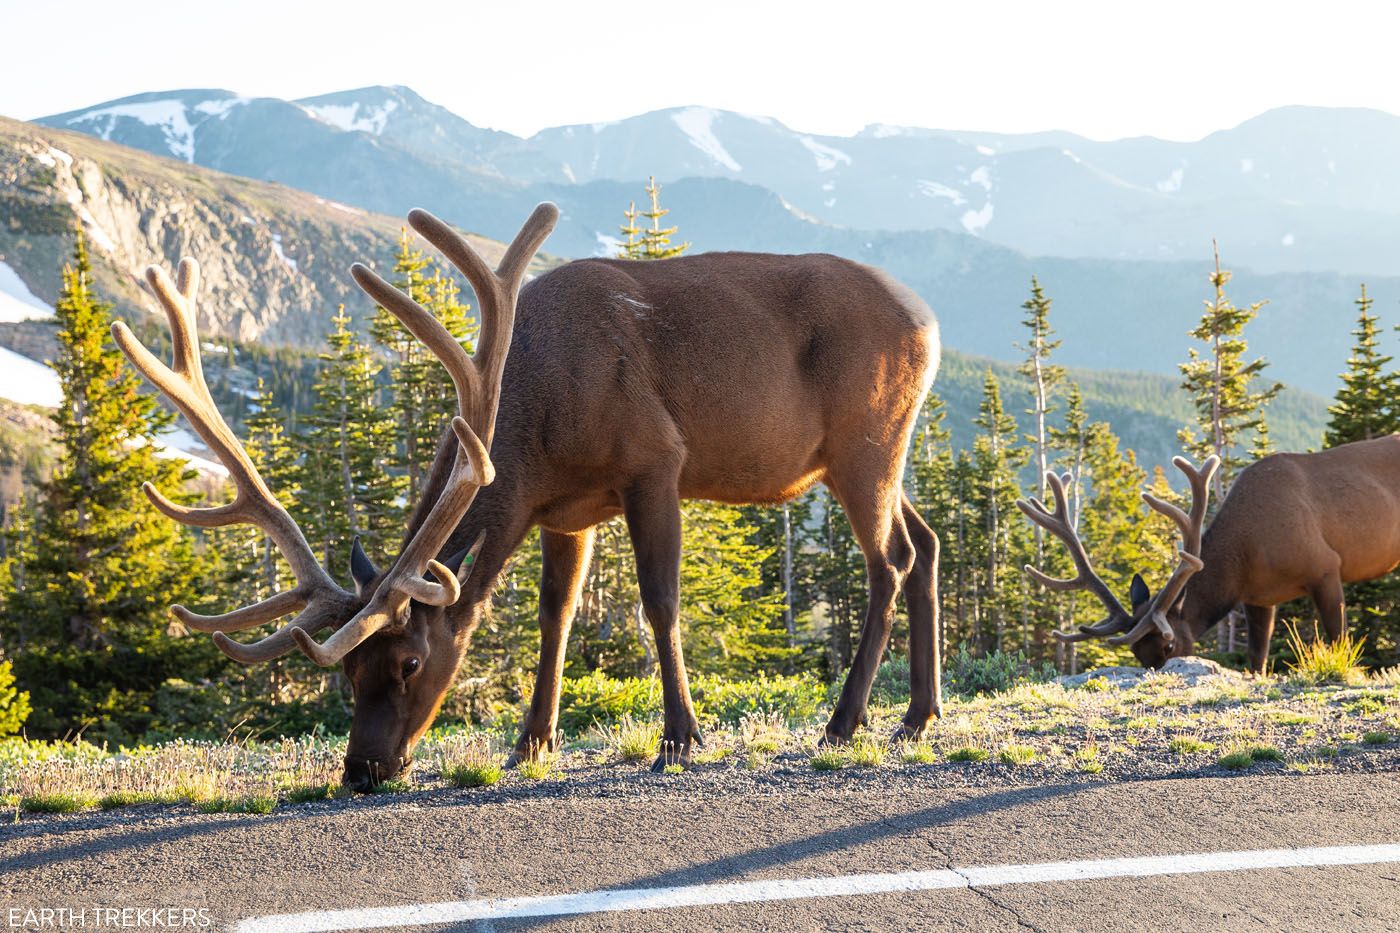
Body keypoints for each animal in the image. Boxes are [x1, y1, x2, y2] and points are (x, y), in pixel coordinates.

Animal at [114, 203, 940, 784]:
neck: (532, 425)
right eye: (348, 670)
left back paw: (845, 721)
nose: (363, 769)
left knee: (890, 560)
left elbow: (660, 601)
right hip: (872, 454)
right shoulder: (564, 510)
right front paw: (530, 741)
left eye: (409, 661)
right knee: (926, 542)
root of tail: (930, 320)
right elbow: (556, 614)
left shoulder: (654, 461)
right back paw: (916, 716)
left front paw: (679, 736)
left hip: (866, 443)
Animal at [1019, 439, 1400, 672]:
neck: (1248, 553)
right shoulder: (1258, 597)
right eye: (1136, 653)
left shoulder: (1325, 567)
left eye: (1169, 645)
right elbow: (1257, 659)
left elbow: (1338, 638)